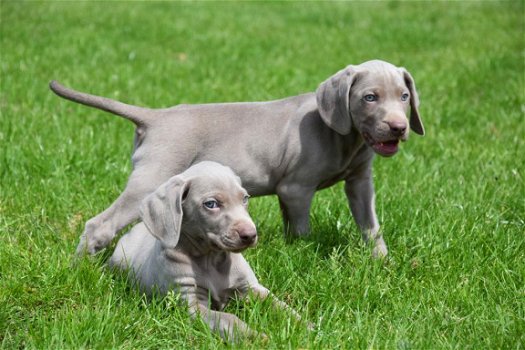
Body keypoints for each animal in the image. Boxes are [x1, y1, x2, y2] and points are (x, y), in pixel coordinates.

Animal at [50, 59, 426, 258]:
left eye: (404, 96)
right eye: (369, 97)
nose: (398, 127)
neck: (344, 136)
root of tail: (155, 117)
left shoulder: (359, 181)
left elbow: (370, 224)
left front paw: (381, 260)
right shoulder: (296, 188)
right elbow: (301, 230)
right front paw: (301, 255)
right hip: (152, 179)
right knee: (100, 224)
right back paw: (81, 267)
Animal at [109, 162, 308, 342]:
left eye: (245, 198)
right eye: (211, 204)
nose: (251, 235)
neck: (211, 258)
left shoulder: (251, 287)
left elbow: (281, 306)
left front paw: (306, 327)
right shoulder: (192, 304)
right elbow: (228, 318)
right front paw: (254, 337)